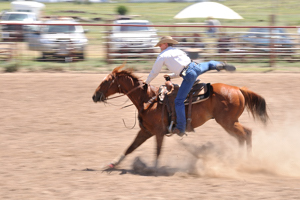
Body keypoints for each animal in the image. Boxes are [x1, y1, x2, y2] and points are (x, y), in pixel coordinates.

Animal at [92, 64, 268, 169]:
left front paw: (155, 168)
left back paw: (246, 161)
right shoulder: (145, 131)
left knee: (246, 134)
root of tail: (239, 89)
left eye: (106, 81)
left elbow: (157, 151)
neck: (149, 99)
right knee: (243, 135)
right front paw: (112, 164)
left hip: (228, 122)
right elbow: (130, 148)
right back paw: (240, 159)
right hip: (230, 122)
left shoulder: (159, 132)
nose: (94, 96)